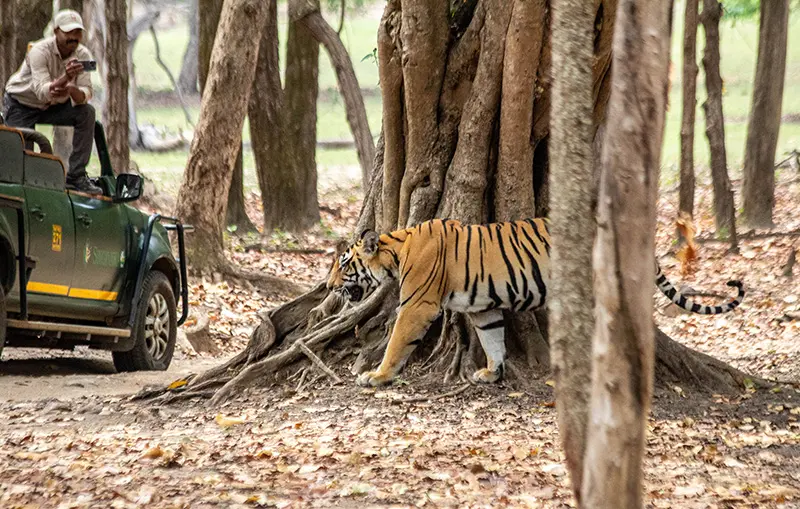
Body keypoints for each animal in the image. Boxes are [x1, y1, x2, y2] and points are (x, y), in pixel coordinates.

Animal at [324, 216, 744, 386]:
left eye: (344, 264)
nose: (328, 286)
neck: (398, 250)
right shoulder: (484, 309)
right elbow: (494, 340)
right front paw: (491, 372)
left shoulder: (416, 305)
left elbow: (396, 343)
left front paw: (377, 376)